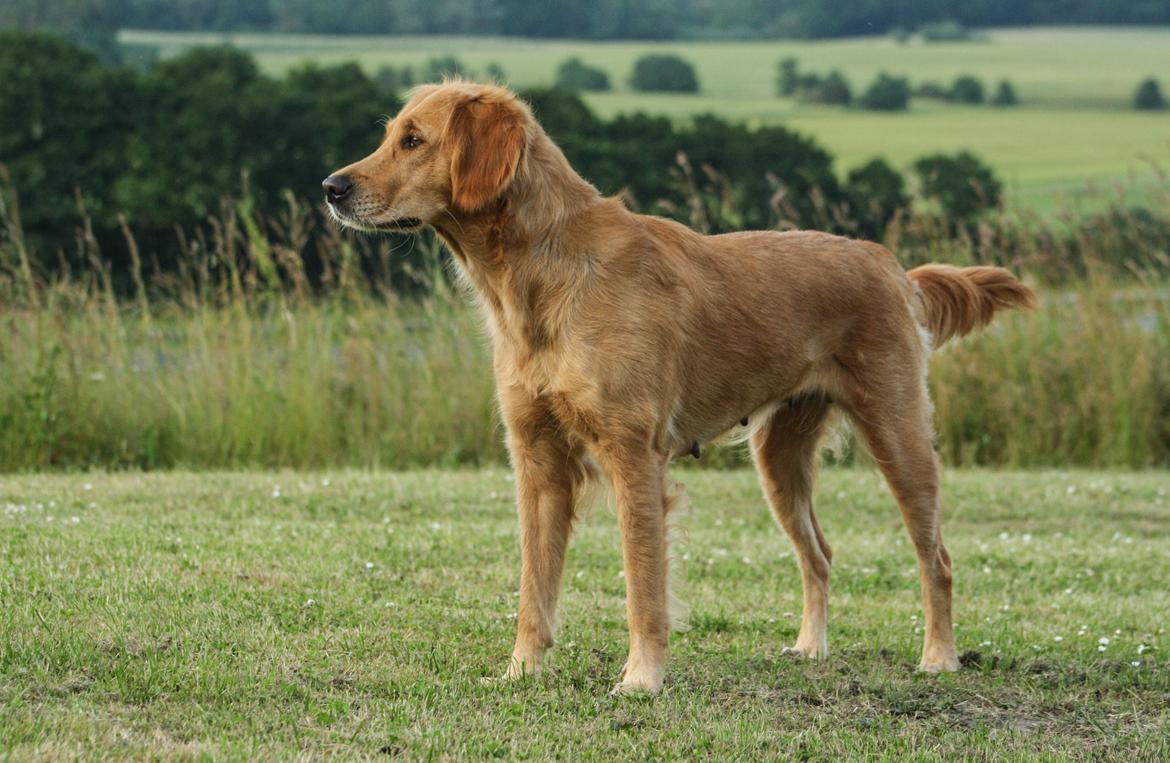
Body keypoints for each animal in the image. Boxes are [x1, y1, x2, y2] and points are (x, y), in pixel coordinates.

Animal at [325, 81, 1038, 692]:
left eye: (414, 140)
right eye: (389, 135)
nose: (331, 187)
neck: (542, 276)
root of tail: (891, 266)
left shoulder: (633, 459)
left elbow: (644, 586)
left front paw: (642, 678)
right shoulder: (537, 462)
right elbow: (535, 588)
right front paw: (521, 671)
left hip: (900, 438)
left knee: (936, 558)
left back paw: (939, 657)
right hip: (778, 461)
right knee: (821, 555)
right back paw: (810, 647)